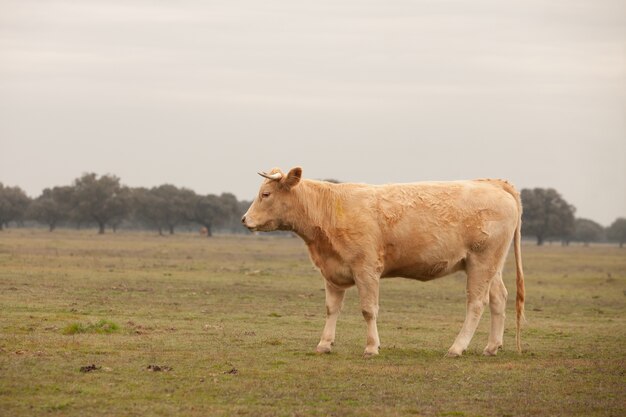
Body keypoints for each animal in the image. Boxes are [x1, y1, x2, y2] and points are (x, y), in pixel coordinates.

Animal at [241, 167, 524, 356]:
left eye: (265, 194)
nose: (244, 219)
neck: (329, 208)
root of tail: (495, 184)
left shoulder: (366, 269)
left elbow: (368, 310)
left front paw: (371, 347)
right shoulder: (332, 271)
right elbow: (332, 309)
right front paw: (324, 344)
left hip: (481, 261)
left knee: (476, 303)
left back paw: (457, 347)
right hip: (492, 266)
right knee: (499, 298)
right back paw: (491, 347)